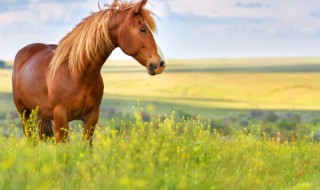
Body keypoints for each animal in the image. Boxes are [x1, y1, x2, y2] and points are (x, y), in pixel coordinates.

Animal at [11, 0, 166, 144]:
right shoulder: (60, 118)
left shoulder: (91, 118)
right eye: (142, 29)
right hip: (24, 113)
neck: (77, 73)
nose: (161, 63)